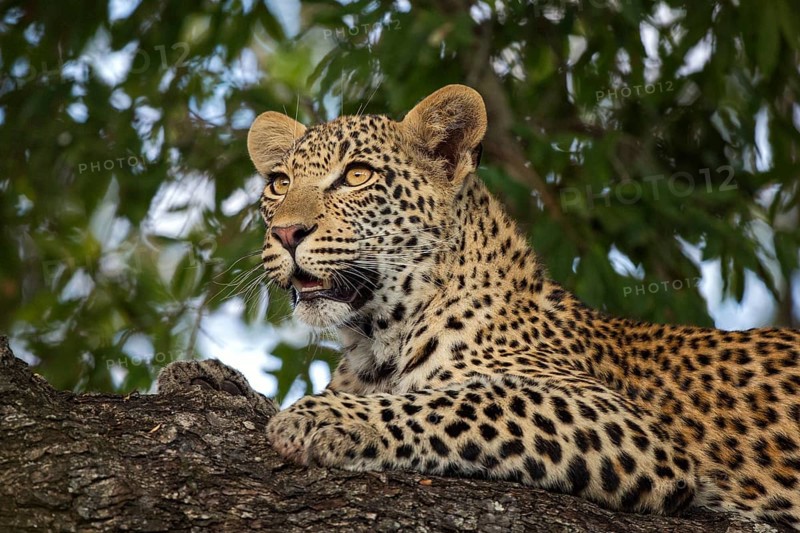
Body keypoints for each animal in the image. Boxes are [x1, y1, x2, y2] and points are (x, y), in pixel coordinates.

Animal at [159, 85, 800, 528]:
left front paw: (324, 418)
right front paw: (205, 377)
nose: (287, 233)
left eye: (357, 175)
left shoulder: (625, 423)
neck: (374, 341)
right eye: (278, 183)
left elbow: (465, 401)